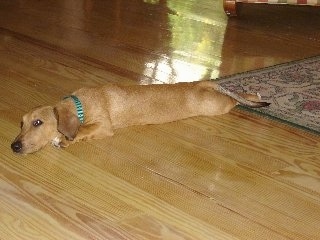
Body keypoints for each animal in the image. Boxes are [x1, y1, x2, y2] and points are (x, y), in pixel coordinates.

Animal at [11, 81, 268, 155]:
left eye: (38, 122)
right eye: (21, 123)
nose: (14, 146)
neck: (80, 104)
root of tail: (204, 83)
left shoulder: (104, 126)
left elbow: (82, 130)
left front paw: (64, 139)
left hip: (216, 106)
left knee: (235, 100)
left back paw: (255, 95)